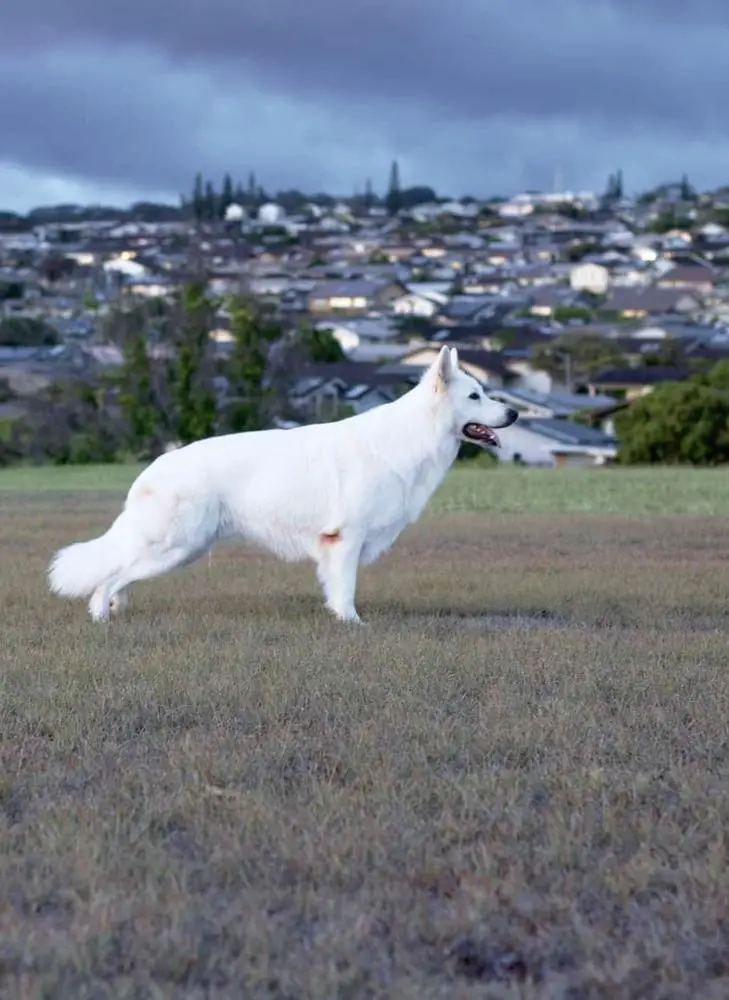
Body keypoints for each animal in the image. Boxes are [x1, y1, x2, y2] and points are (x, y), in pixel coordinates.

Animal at [48, 348, 516, 620]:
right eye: (475, 397)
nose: (513, 414)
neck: (410, 436)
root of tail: (152, 470)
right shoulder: (346, 539)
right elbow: (346, 591)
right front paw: (352, 624)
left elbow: (336, 589)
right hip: (176, 548)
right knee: (109, 577)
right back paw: (101, 615)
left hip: (178, 550)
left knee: (119, 575)